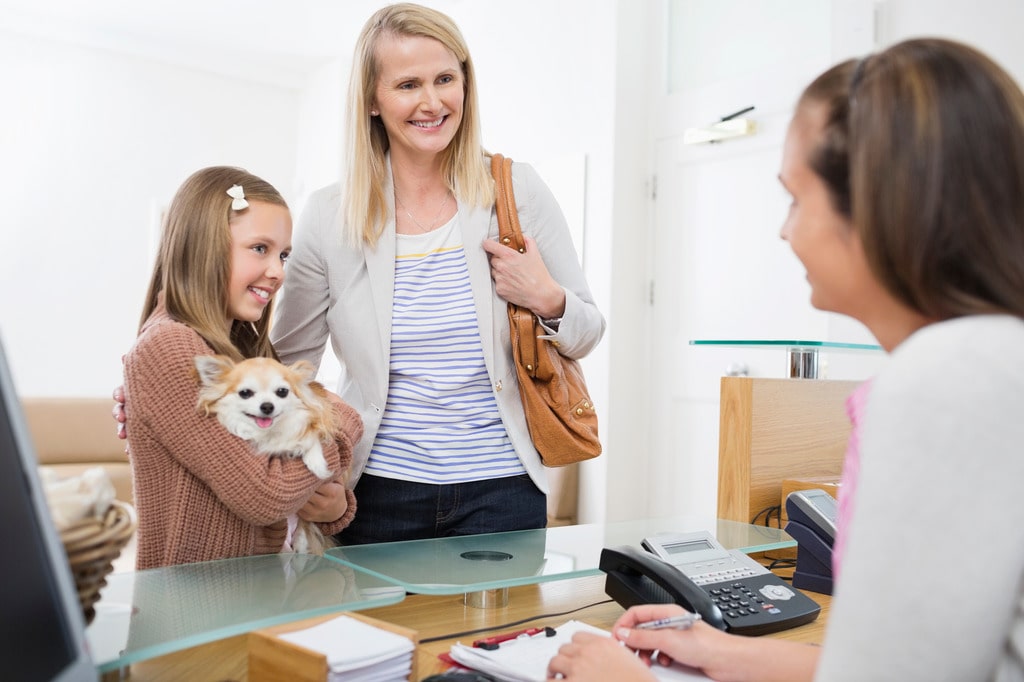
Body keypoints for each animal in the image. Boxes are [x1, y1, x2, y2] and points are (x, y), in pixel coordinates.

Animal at [195, 356, 344, 552]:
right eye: (245, 393)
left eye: (282, 392)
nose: (267, 406)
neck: (270, 432)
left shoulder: (319, 415)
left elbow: (311, 436)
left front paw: (318, 464)